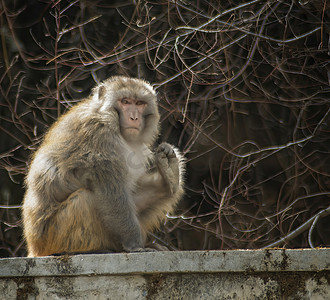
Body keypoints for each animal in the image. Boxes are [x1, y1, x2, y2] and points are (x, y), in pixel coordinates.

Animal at [21, 76, 184, 256]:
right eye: (125, 101)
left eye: (140, 103)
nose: (134, 117)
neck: (106, 116)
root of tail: (33, 247)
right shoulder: (100, 138)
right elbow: (112, 195)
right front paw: (135, 245)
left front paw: (168, 177)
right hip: (53, 236)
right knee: (85, 198)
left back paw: (169, 178)